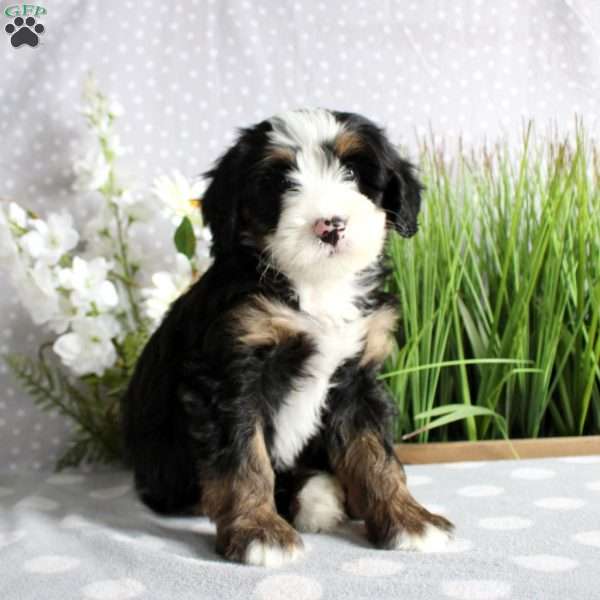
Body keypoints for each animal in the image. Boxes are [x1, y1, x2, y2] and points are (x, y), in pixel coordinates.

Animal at [122, 109, 452, 568]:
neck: (318, 285)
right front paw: (258, 531)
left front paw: (409, 519)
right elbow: (244, 459)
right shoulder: (230, 374)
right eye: (280, 182)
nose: (330, 225)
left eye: (353, 171)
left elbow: (376, 454)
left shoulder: (358, 381)